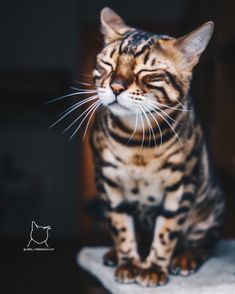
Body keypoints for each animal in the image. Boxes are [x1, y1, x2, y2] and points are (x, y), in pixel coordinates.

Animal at [89, 7, 224, 288]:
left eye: (147, 73)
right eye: (108, 65)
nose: (115, 87)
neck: (138, 143)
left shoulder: (181, 185)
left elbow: (166, 232)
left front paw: (153, 268)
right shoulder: (108, 181)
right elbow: (120, 226)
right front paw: (129, 263)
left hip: (210, 210)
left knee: (204, 242)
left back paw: (185, 258)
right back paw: (113, 254)